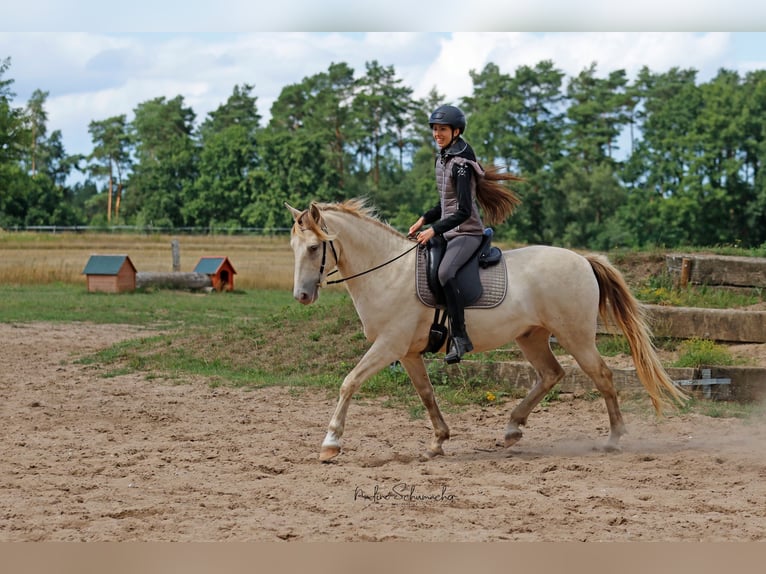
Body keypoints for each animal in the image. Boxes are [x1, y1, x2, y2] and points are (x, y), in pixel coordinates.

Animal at [288, 199, 688, 464]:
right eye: (293, 247)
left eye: (314, 247)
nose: (302, 296)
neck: (388, 272)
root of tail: (582, 259)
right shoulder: (408, 352)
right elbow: (426, 394)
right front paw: (438, 441)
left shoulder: (389, 345)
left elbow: (349, 382)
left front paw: (330, 442)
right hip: (531, 336)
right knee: (551, 374)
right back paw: (512, 428)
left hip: (576, 336)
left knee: (602, 376)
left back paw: (614, 438)